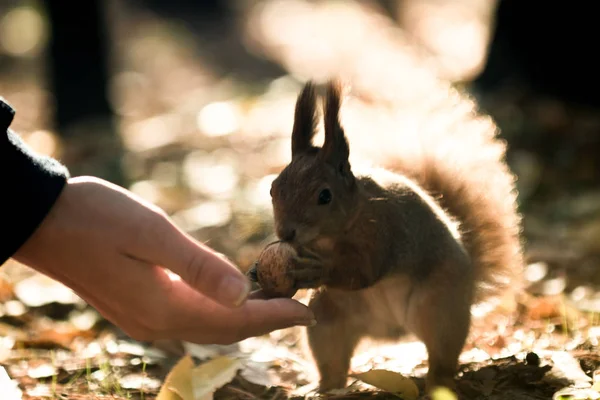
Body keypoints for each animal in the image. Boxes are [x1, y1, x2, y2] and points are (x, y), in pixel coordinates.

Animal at [264, 79, 524, 392]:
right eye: (273, 188)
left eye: (325, 196)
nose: (285, 232)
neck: (333, 235)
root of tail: (391, 331)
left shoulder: (382, 233)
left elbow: (363, 272)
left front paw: (318, 269)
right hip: (327, 319)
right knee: (333, 363)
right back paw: (322, 388)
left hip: (438, 306)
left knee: (441, 354)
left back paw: (436, 384)